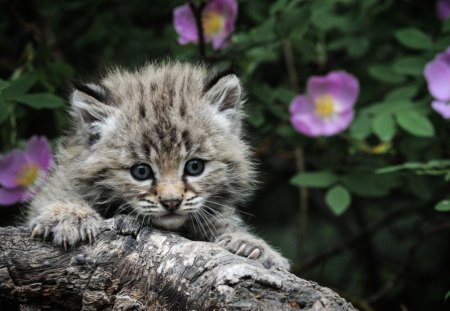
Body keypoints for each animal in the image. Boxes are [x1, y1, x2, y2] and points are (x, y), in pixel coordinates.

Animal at [26, 62, 290, 270]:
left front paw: (249, 246)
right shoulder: (64, 175)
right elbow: (59, 194)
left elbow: (221, 220)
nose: (171, 202)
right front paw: (69, 216)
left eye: (195, 167)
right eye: (141, 171)